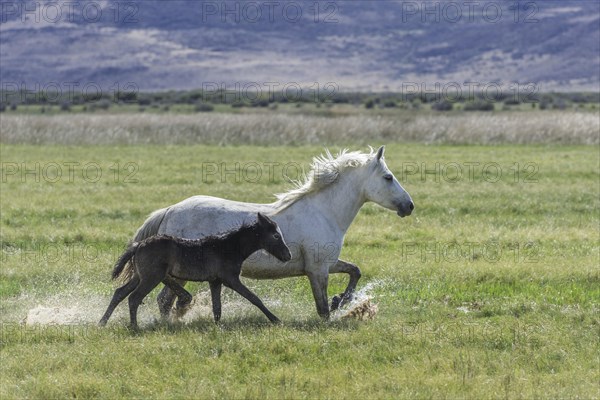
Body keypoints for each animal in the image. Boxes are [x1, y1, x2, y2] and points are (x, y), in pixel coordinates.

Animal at [99, 212, 290, 328]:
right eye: (276, 235)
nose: (288, 255)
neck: (229, 247)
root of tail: (138, 245)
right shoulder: (230, 279)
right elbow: (254, 298)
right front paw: (275, 319)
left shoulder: (215, 281)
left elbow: (217, 307)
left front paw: (217, 326)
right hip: (151, 277)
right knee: (134, 298)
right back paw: (134, 326)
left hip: (140, 276)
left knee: (119, 293)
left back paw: (102, 322)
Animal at [127, 146, 412, 318]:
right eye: (388, 177)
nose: (409, 206)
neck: (324, 212)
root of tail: (170, 210)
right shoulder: (318, 269)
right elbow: (322, 308)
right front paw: (335, 307)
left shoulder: (327, 263)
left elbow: (355, 271)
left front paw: (341, 300)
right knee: (165, 299)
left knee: (165, 300)